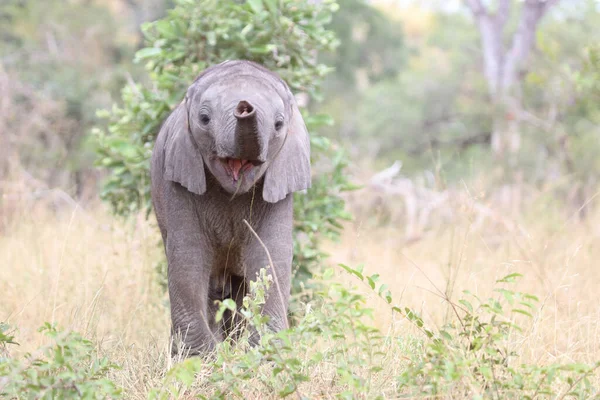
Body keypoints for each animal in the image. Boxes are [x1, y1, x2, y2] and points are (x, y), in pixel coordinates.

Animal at [150, 59, 312, 356]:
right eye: (204, 119)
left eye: (279, 124)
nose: (245, 106)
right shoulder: (179, 174)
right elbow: (187, 258)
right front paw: (198, 359)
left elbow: (271, 258)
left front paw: (265, 355)